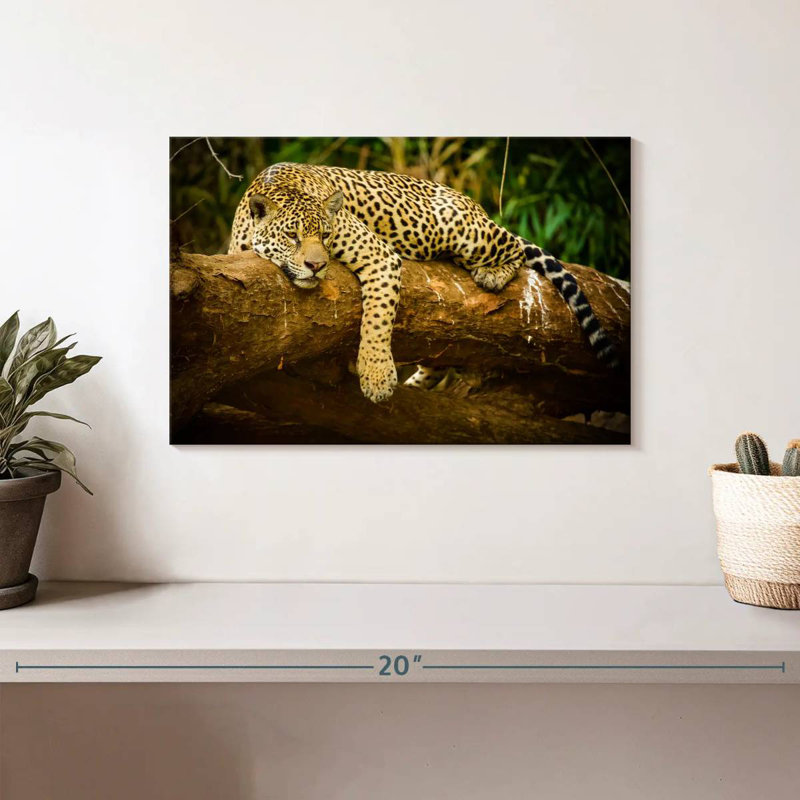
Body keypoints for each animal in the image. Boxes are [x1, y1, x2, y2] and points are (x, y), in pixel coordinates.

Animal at [228, 162, 619, 403]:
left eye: (325, 235)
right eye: (292, 236)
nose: (316, 265)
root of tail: (472, 202)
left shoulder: (380, 256)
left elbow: (376, 320)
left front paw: (377, 377)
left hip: (462, 229)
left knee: (513, 245)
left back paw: (492, 272)